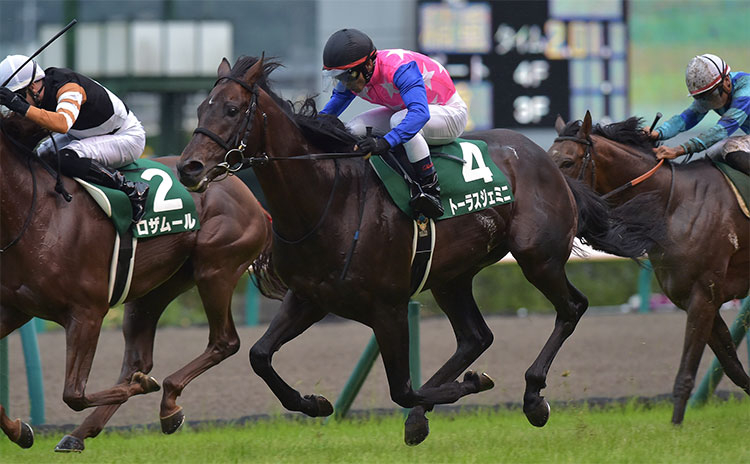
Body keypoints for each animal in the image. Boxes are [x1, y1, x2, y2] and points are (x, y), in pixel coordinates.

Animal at [0, 112, 280, 450]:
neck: (37, 211)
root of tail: (252, 199)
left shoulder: (86, 313)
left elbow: (74, 394)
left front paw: (146, 387)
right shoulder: (14, 309)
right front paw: (20, 430)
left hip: (216, 269)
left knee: (224, 341)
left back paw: (167, 402)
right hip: (153, 291)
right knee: (138, 361)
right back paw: (82, 432)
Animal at [176, 58, 664, 446]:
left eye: (232, 109)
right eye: (200, 108)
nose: (188, 167)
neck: (329, 198)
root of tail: (548, 162)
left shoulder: (388, 307)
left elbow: (402, 388)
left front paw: (471, 386)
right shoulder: (310, 297)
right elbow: (260, 356)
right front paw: (314, 403)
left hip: (537, 257)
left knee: (571, 308)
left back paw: (531, 396)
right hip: (452, 275)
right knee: (476, 336)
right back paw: (424, 416)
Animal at [548, 111, 748, 424]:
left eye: (568, 162)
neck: (674, 203)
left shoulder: (704, 296)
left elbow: (686, 374)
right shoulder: (694, 298)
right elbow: (733, 367)